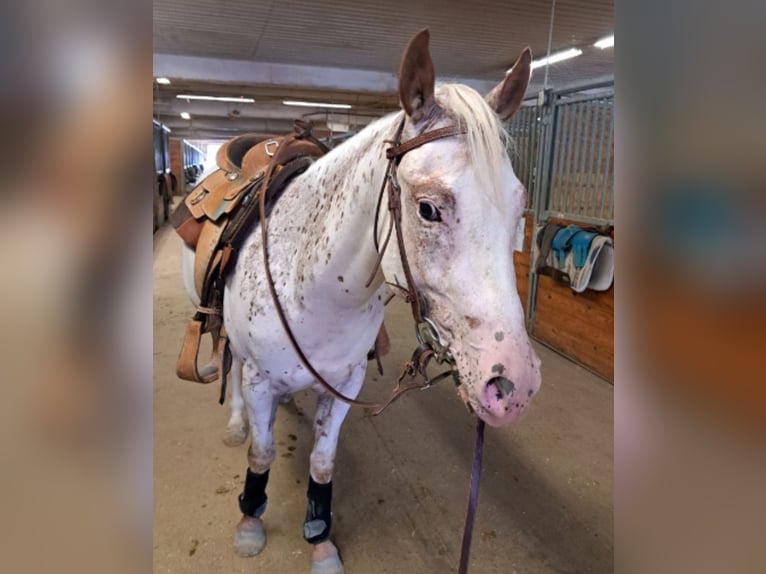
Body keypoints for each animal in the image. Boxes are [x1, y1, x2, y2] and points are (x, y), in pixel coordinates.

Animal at [181, 30, 544, 574]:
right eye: (428, 209)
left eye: (519, 206)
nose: (513, 385)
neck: (317, 293)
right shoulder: (262, 380)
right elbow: (261, 455)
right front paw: (250, 521)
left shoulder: (345, 382)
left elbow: (322, 462)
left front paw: (320, 538)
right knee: (232, 364)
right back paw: (236, 423)